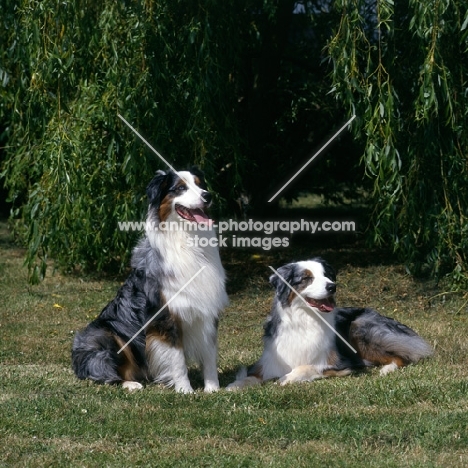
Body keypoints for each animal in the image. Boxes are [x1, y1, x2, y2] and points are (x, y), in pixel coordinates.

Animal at [71, 167, 229, 392]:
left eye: (200, 185)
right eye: (180, 188)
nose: (208, 196)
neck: (188, 241)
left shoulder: (207, 311)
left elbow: (209, 355)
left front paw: (213, 390)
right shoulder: (165, 316)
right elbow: (177, 359)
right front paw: (185, 391)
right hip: (105, 334)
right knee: (103, 371)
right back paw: (130, 384)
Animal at [227, 258, 432, 390]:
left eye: (327, 275)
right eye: (307, 278)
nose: (332, 286)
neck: (305, 319)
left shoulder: (338, 363)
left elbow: (306, 366)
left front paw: (289, 377)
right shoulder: (269, 363)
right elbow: (250, 377)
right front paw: (234, 386)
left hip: (359, 327)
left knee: (403, 356)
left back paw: (386, 369)